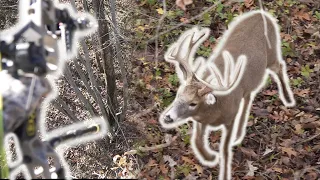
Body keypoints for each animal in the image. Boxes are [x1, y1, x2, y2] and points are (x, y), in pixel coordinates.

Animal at [159, 9, 296, 180]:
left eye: (193, 103)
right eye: (178, 94)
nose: (167, 117)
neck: (216, 111)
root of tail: (262, 14)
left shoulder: (229, 118)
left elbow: (225, 150)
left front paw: (223, 173)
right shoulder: (202, 121)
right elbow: (197, 141)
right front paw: (210, 157)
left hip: (272, 53)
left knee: (279, 66)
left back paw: (288, 99)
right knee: (248, 96)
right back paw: (239, 134)